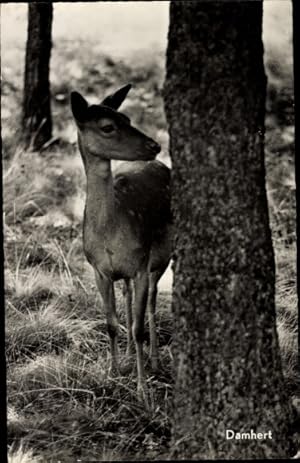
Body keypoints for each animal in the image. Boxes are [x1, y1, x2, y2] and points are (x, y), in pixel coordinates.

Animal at [70, 84, 172, 402]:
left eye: (127, 118)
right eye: (107, 126)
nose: (154, 145)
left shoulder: (141, 264)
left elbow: (138, 327)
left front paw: (142, 390)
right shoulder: (98, 269)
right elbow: (111, 323)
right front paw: (113, 374)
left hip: (161, 255)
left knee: (152, 301)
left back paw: (154, 361)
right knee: (128, 297)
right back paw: (128, 357)